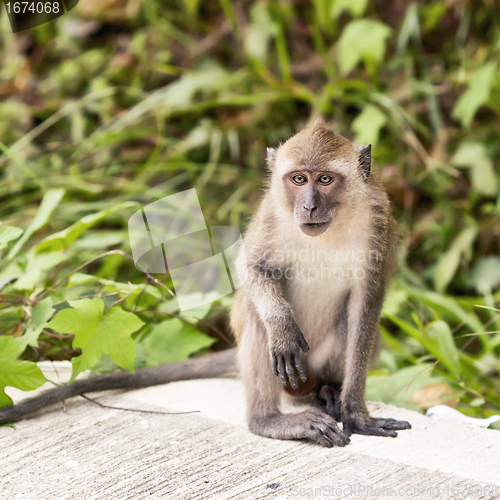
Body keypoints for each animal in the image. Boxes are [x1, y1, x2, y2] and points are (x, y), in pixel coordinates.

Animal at [0, 119, 410, 448]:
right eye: (298, 179)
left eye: (325, 179)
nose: (308, 206)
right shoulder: (271, 214)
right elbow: (252, 268)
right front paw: (281, 326)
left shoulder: (379, 222)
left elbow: (365, 307)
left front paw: (356, 414)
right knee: (257, 322)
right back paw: (270, 419)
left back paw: (326, 390)